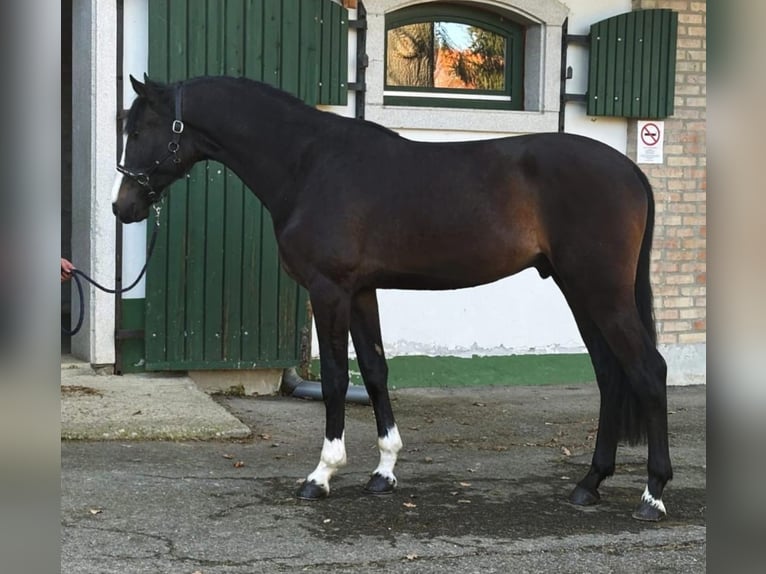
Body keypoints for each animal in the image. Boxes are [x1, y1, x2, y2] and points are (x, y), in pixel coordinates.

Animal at [112, 75, 672, 520]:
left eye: (138, 131)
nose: (123, 207)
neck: (310, 164)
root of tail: (631, 172)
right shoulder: (362, 292)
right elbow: (376, 372)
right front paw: (384, 472)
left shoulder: (330, 291)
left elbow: (337, 378)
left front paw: (321, 475)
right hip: (580, 291)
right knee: (609, 375)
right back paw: (589, 484)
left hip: (601, 292)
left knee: (648, 370)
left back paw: (653, 495)